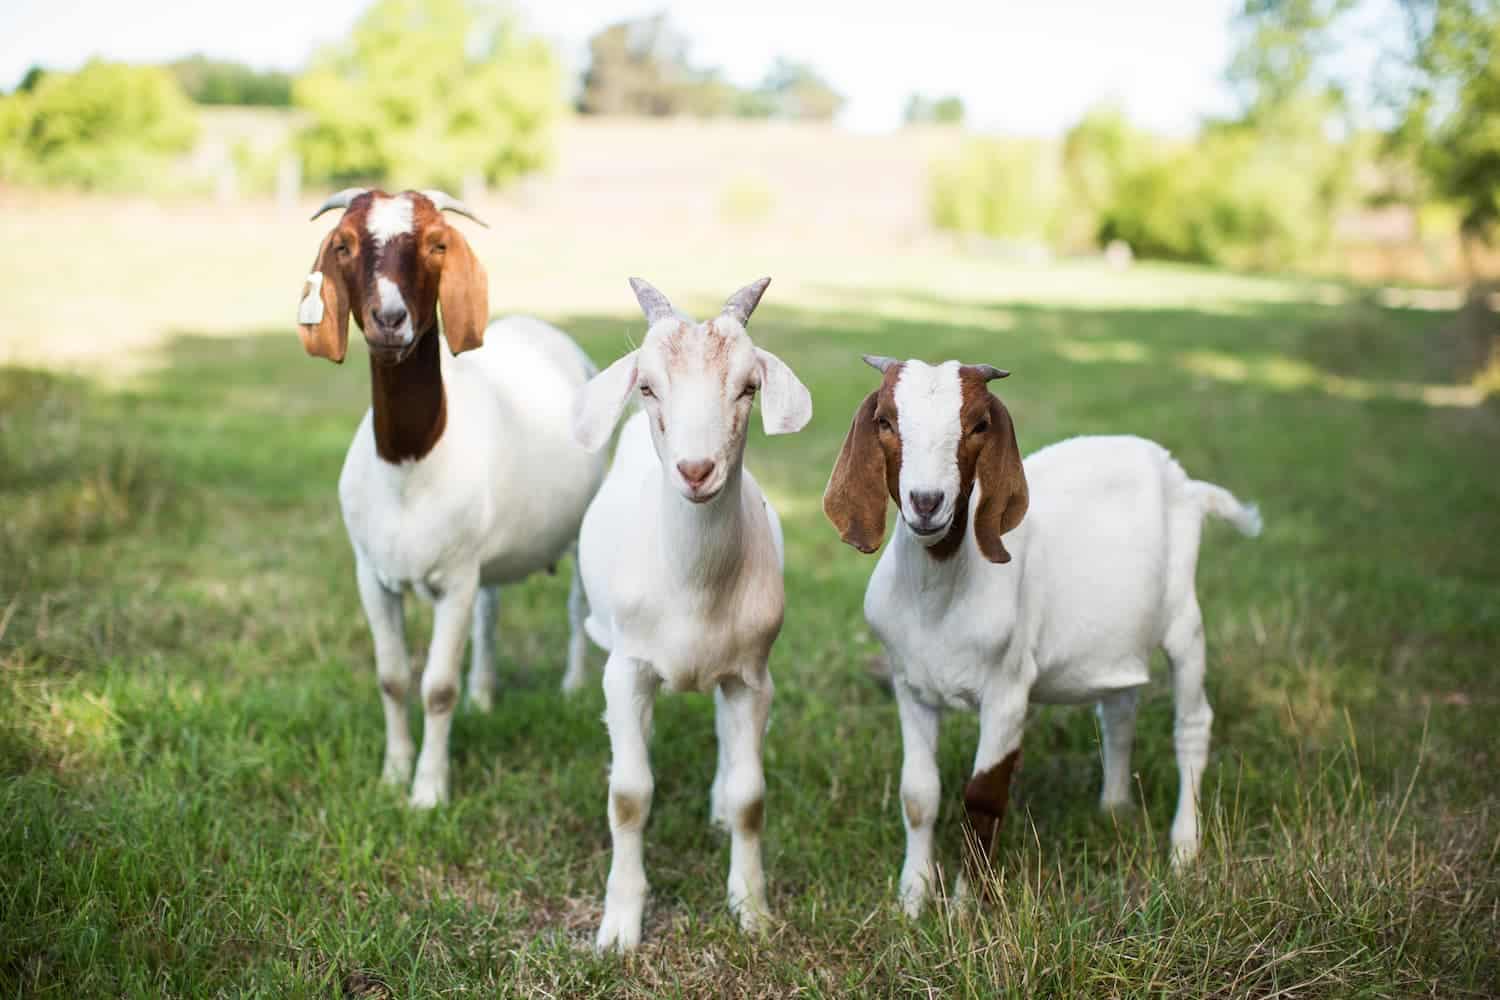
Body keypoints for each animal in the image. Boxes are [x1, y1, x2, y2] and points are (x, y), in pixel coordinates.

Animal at [297, 188, 606, 808]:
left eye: (437, 243)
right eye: (344, 245)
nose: (390, 319)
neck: (411, 465)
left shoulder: (454, 582)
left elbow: (436, 687)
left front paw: (428, 792)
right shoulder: (372, 574)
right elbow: (393, 678)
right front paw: (393, 774)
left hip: (581, 524)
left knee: (576, 606)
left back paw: (572, 688)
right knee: (491, 610)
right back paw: (484, 695)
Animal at [571, 277, 812, 952]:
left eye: (749, 386)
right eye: (648, 386)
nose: (696, 470)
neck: (693, 588)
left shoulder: (753, 675)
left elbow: (753, 796)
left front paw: (752, 911)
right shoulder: (626, 667)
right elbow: (630, 795)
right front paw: (619, 928)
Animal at [823, 356, 1261, 916]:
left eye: (978, 425)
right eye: (884, 421)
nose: (926, 502)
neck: (939, 595)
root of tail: (1186, 483)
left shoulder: (1008, 691)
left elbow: (983, 796)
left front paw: (966, 907)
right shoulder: (909, 684)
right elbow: (918, 795)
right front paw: (912, 900)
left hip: (1184, 619)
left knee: (1192, 723)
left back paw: (1184, 848)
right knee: (1119, 710)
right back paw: (1113, 809)